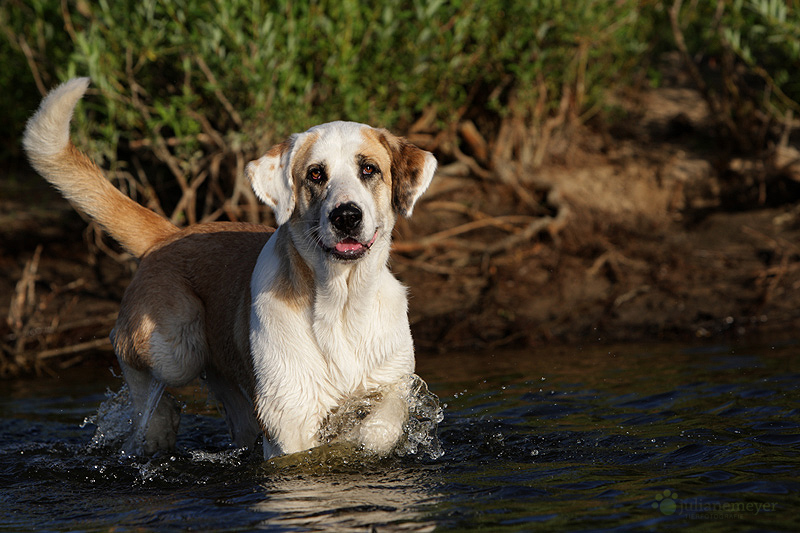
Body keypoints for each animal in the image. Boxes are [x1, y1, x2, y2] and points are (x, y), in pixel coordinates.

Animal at [23, 78, 438, 458]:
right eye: (316, 174)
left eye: (369, 169)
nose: (347, 216)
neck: (342, 302)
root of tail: (171, 233)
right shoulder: (289, 417)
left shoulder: (394, 379)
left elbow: (383, 421)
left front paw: (358, 438)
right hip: (175, 348)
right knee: (128, 353)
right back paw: (156, 427)